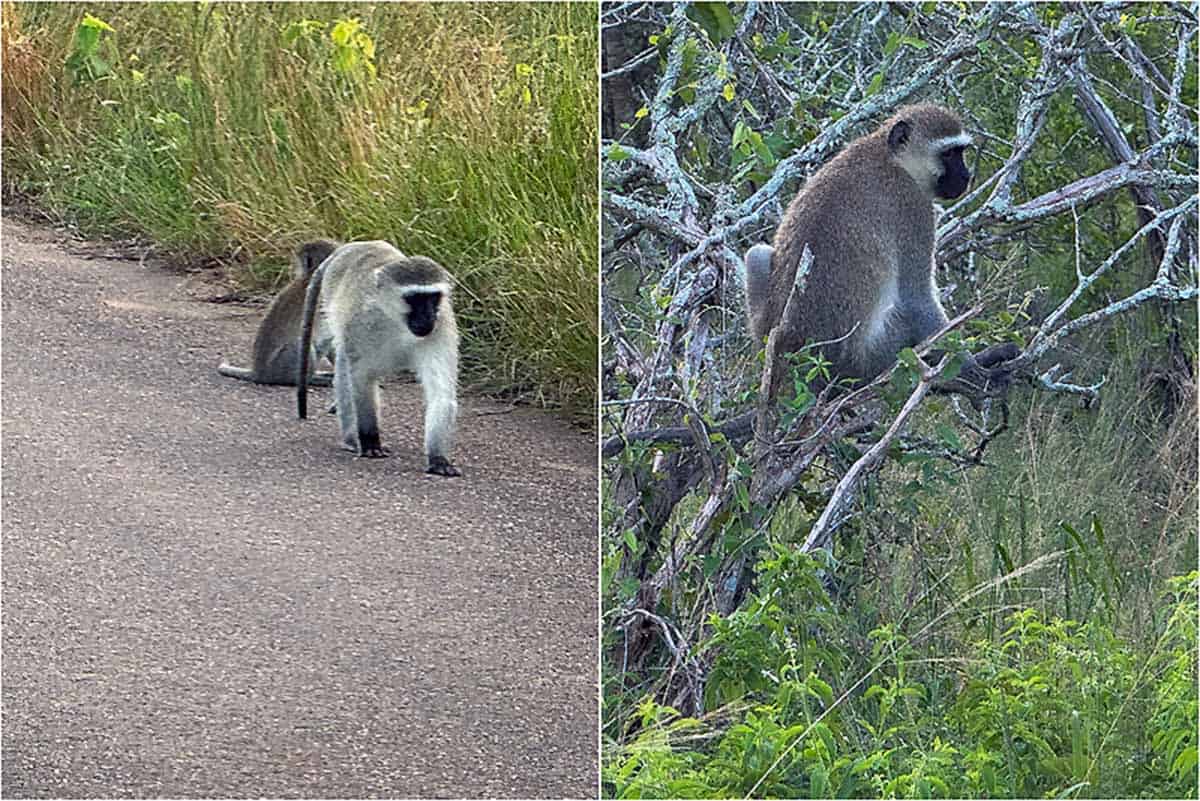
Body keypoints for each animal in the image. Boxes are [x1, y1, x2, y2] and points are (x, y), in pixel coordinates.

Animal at [296, 237, 458, 474]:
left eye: (432, 298)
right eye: (414, 299)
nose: (427, 317)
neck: (397, 323)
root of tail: (356, 245)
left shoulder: (442, 325)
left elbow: (441, 391)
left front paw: (438, 458)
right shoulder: (362, 325)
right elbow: (361, 380)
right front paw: (370, 441)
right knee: (345, 373)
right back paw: (352, 440)